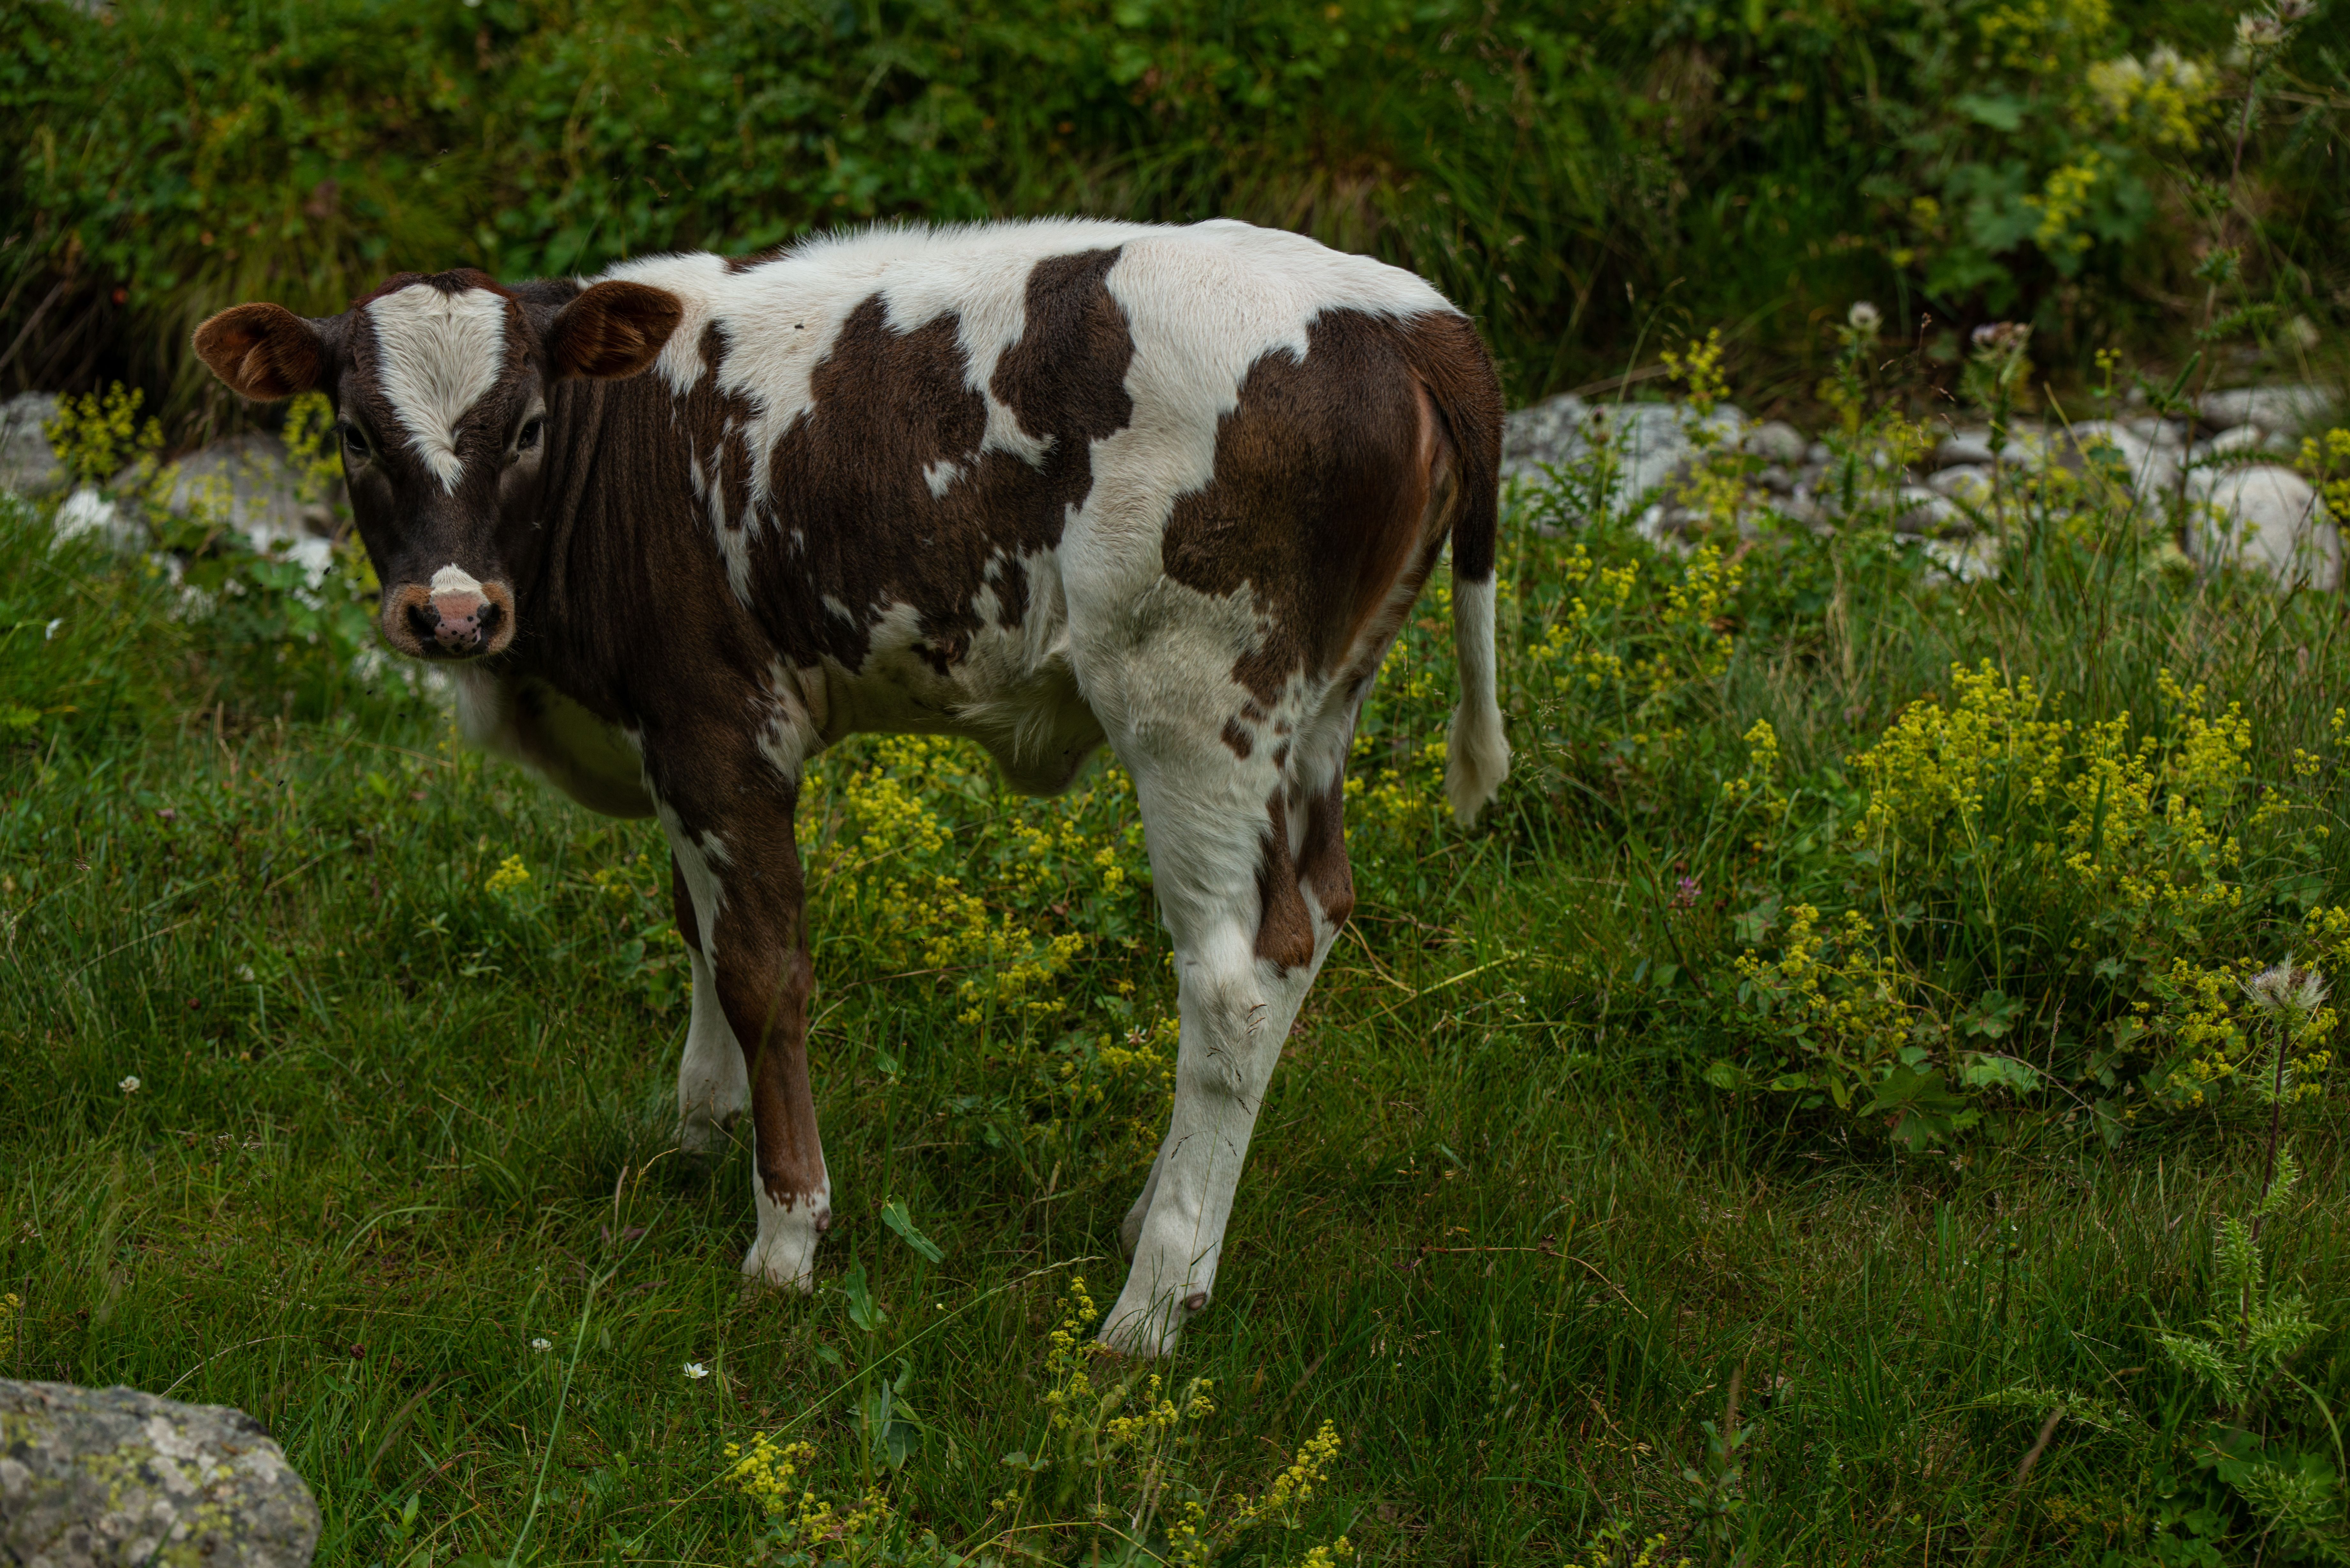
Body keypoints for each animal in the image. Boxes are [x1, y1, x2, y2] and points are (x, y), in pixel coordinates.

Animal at [192, 218, 1507, 1356]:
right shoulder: (674, 743)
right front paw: (696, 1130)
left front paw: (784, 1235)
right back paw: (1158, 1225)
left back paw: (1148, 1307)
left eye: (524, 426)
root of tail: (1405, 310)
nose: (453, 612)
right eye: (356, 434)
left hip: (1192, 710)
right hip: (1315, 716)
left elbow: (762, 970)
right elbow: (698, 930)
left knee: (1230, 992)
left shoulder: (723, 730)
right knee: (1310, 925)